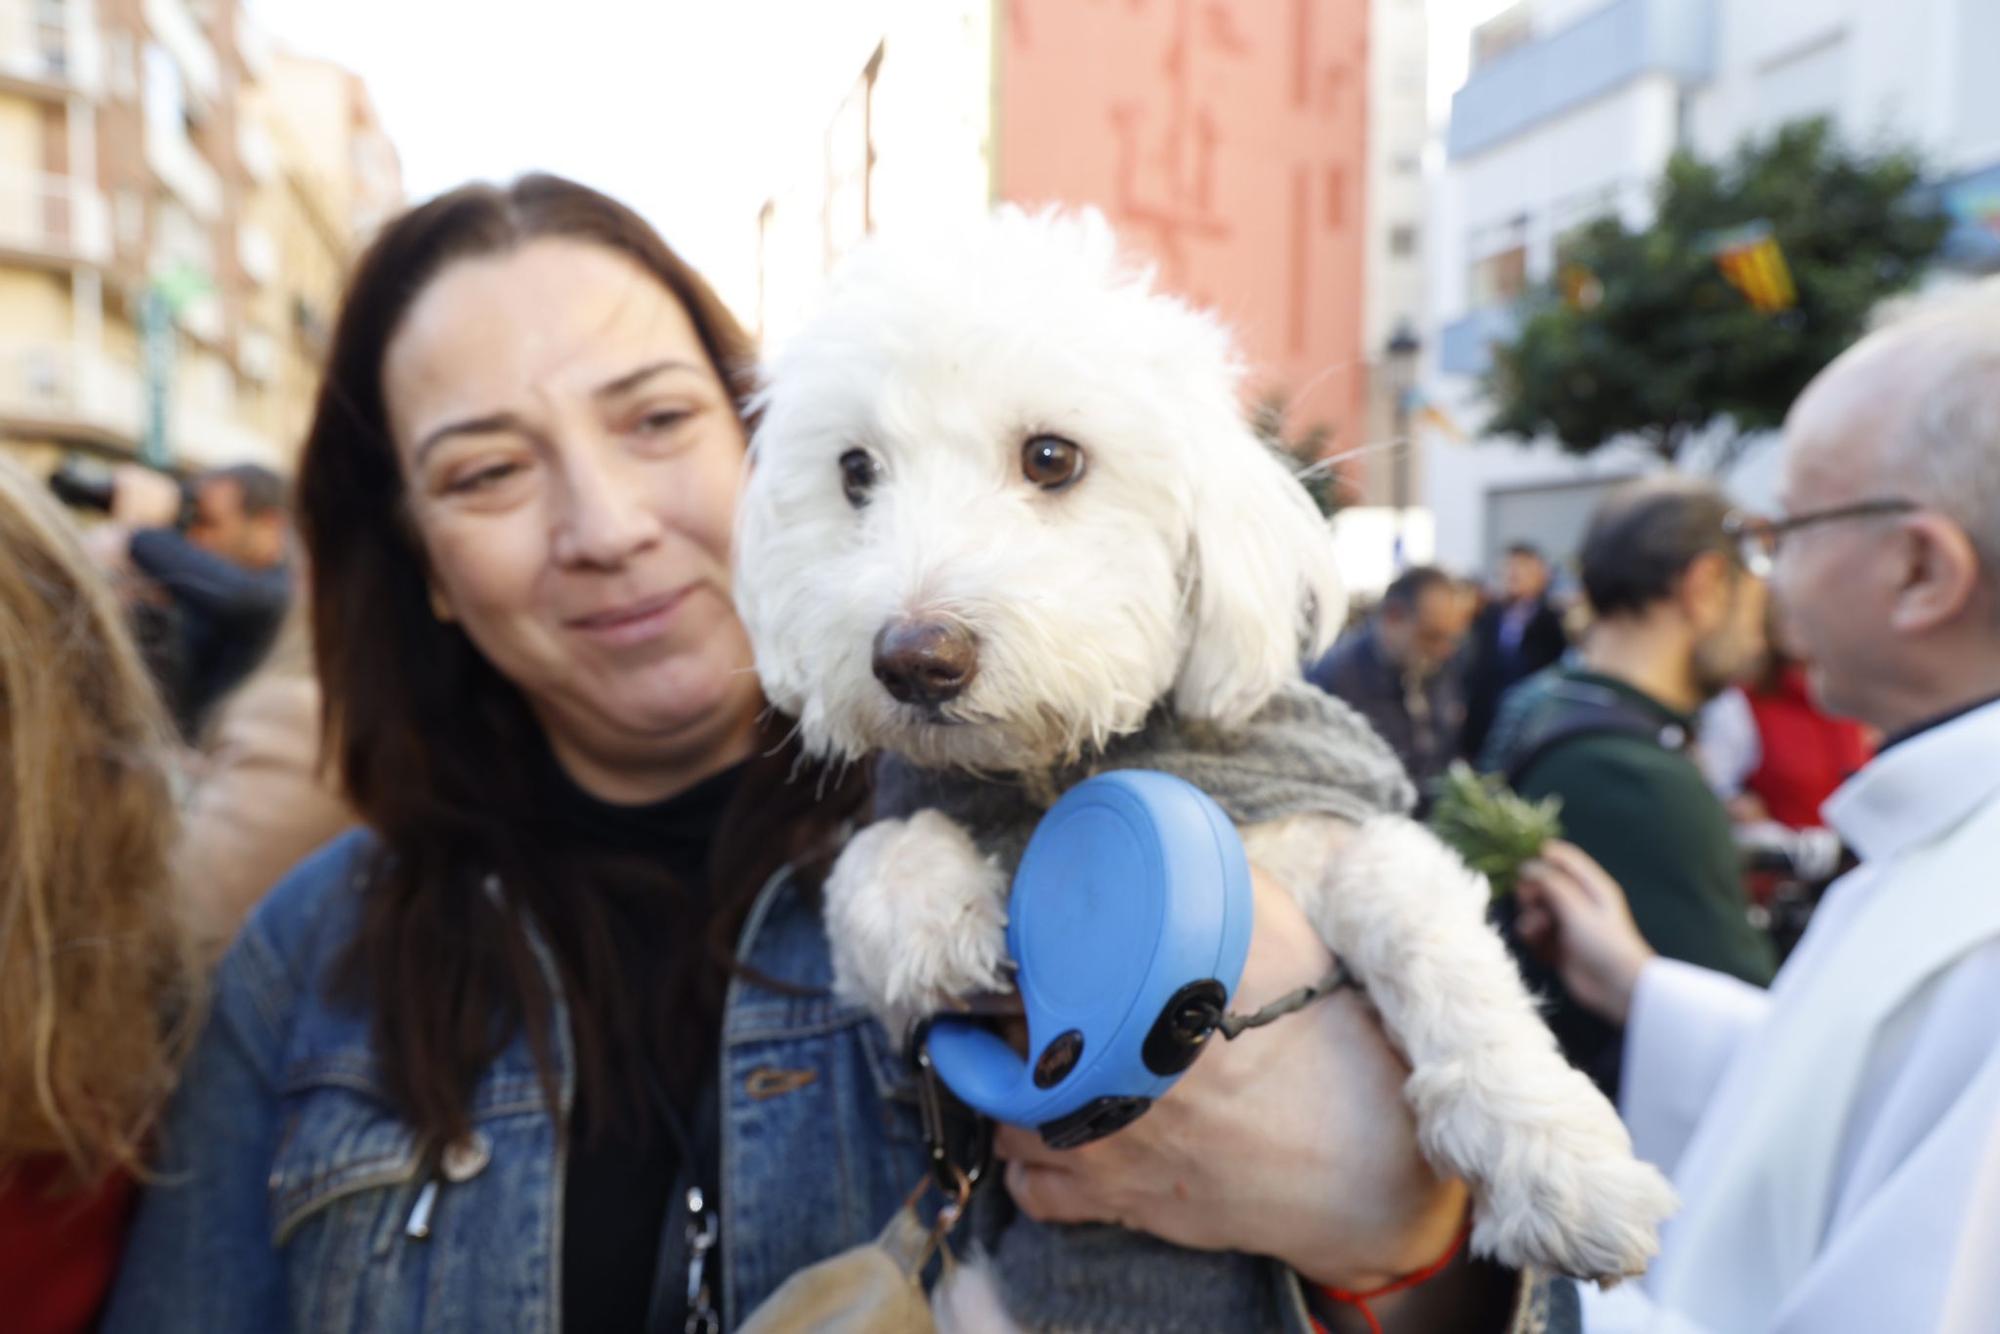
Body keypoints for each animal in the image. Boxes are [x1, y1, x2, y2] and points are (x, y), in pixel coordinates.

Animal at [736, 209, 1672, 1312]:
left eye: (1051, 456)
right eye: (854, 473)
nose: (914, 659)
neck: (1059, 761)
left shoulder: (1343, 833)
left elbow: (1439, 947)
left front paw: (1560, 1163)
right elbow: (866, 871)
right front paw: (935, 910)